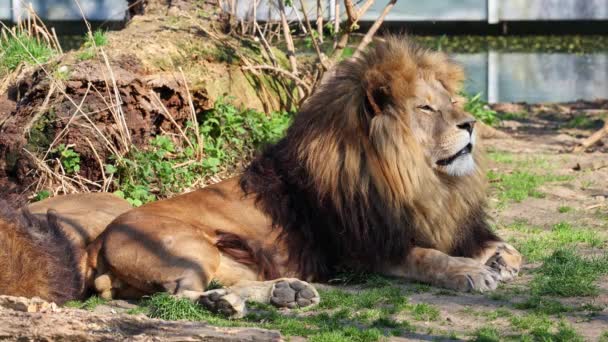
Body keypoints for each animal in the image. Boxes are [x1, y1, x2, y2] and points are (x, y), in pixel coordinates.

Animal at [1, 36, 524, 316]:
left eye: (451, 102)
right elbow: (428, 257)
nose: (470, 125)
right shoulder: (366, 250)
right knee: (181, 296)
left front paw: (501, 258)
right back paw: (232, 305)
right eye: (426, 109)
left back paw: (287, 291)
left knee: (220, 284)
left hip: (228, 257)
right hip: (189, 248)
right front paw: (472, 272)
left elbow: (495, 244)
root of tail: (95, 247)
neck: (417, 179)